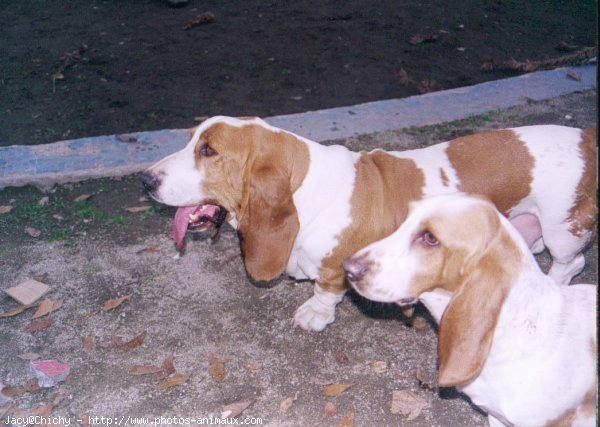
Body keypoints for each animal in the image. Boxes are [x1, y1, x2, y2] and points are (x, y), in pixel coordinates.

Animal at [143, 118, 596, 332]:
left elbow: (326, 291)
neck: (305, 186)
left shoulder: (336, 266)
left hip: (562, 230)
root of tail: (585, 138)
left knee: (570, 264)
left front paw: (313, 315)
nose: (145, 180)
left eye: (208, 151)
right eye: (189, 139)